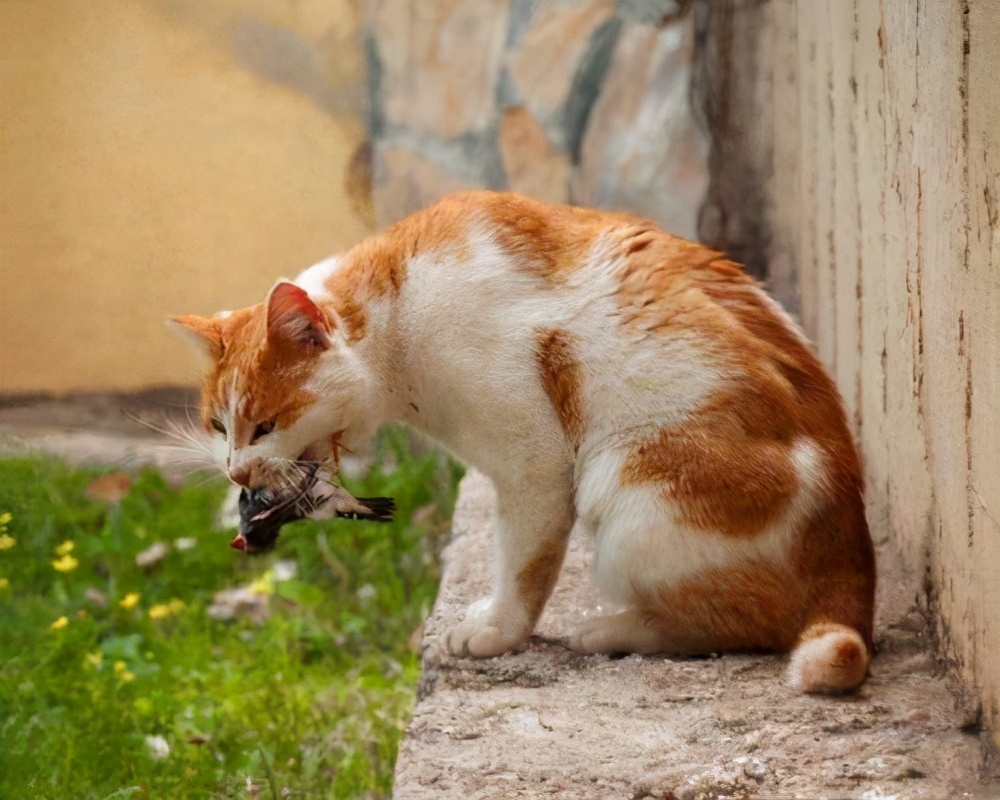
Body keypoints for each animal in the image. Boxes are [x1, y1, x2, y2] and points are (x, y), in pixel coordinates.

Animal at [172, 191, 876, 692]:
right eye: (219, 426)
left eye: (265, 424)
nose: (236, 474)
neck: (394, 311)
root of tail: (853, 549)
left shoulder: (532, 463)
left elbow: (523, 563)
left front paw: (494, 633)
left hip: (626, 484)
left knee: (748, 621)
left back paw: (610, 630)